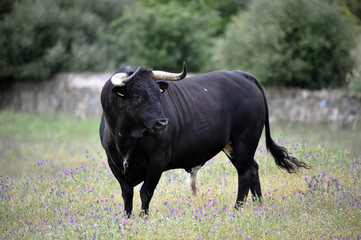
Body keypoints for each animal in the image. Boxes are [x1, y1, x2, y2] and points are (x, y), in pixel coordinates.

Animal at [98, 63, 306, 216]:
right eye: (137, 95)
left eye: (158, 93)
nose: (162, 123)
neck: (126, 140)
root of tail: (241, 75)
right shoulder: (113, 163)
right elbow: (127, 194)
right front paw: (127, 219)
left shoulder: (156, 162)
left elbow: (145, 193)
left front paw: (143, 218)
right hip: (234, 147)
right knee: (253, 168)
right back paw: (259, 205)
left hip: (245, 141)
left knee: (245, 173)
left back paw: (237, 209)